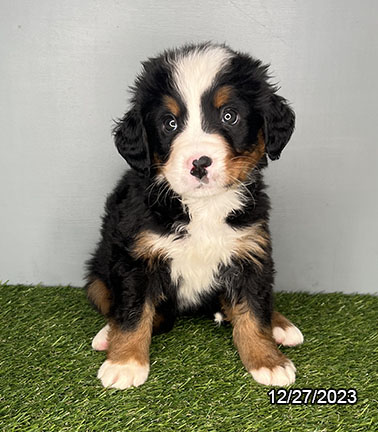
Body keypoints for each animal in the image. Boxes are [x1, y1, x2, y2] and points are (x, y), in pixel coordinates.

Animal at [85, 42, 304, 390]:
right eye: (170, 123)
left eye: (230, 116)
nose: (199, 163)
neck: (203, 207)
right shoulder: (136, 257)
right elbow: (134, 312)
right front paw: (125, 362)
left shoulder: (251, 251)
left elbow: (254, 310)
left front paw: (267, 361)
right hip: (98, 274)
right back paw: (109, 335)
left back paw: (281, 326)